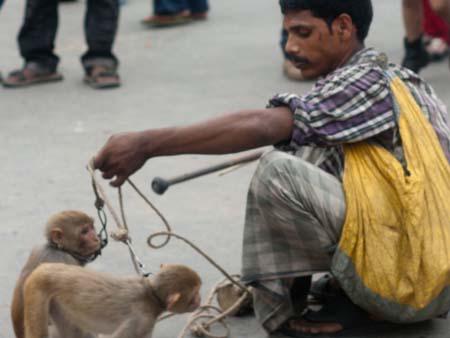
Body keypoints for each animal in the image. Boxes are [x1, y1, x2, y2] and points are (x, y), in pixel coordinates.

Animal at [11, 210, 100, 338]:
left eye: (91, 227)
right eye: (84, 231)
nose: (96, 238)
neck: (57, 248)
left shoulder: (37, 249)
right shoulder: (66, 260)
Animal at [22, 262, 202, 338]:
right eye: (194, 297)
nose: (200, 300)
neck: (151, 296)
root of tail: (43, 268)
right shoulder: (142, 322)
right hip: (35, 292)